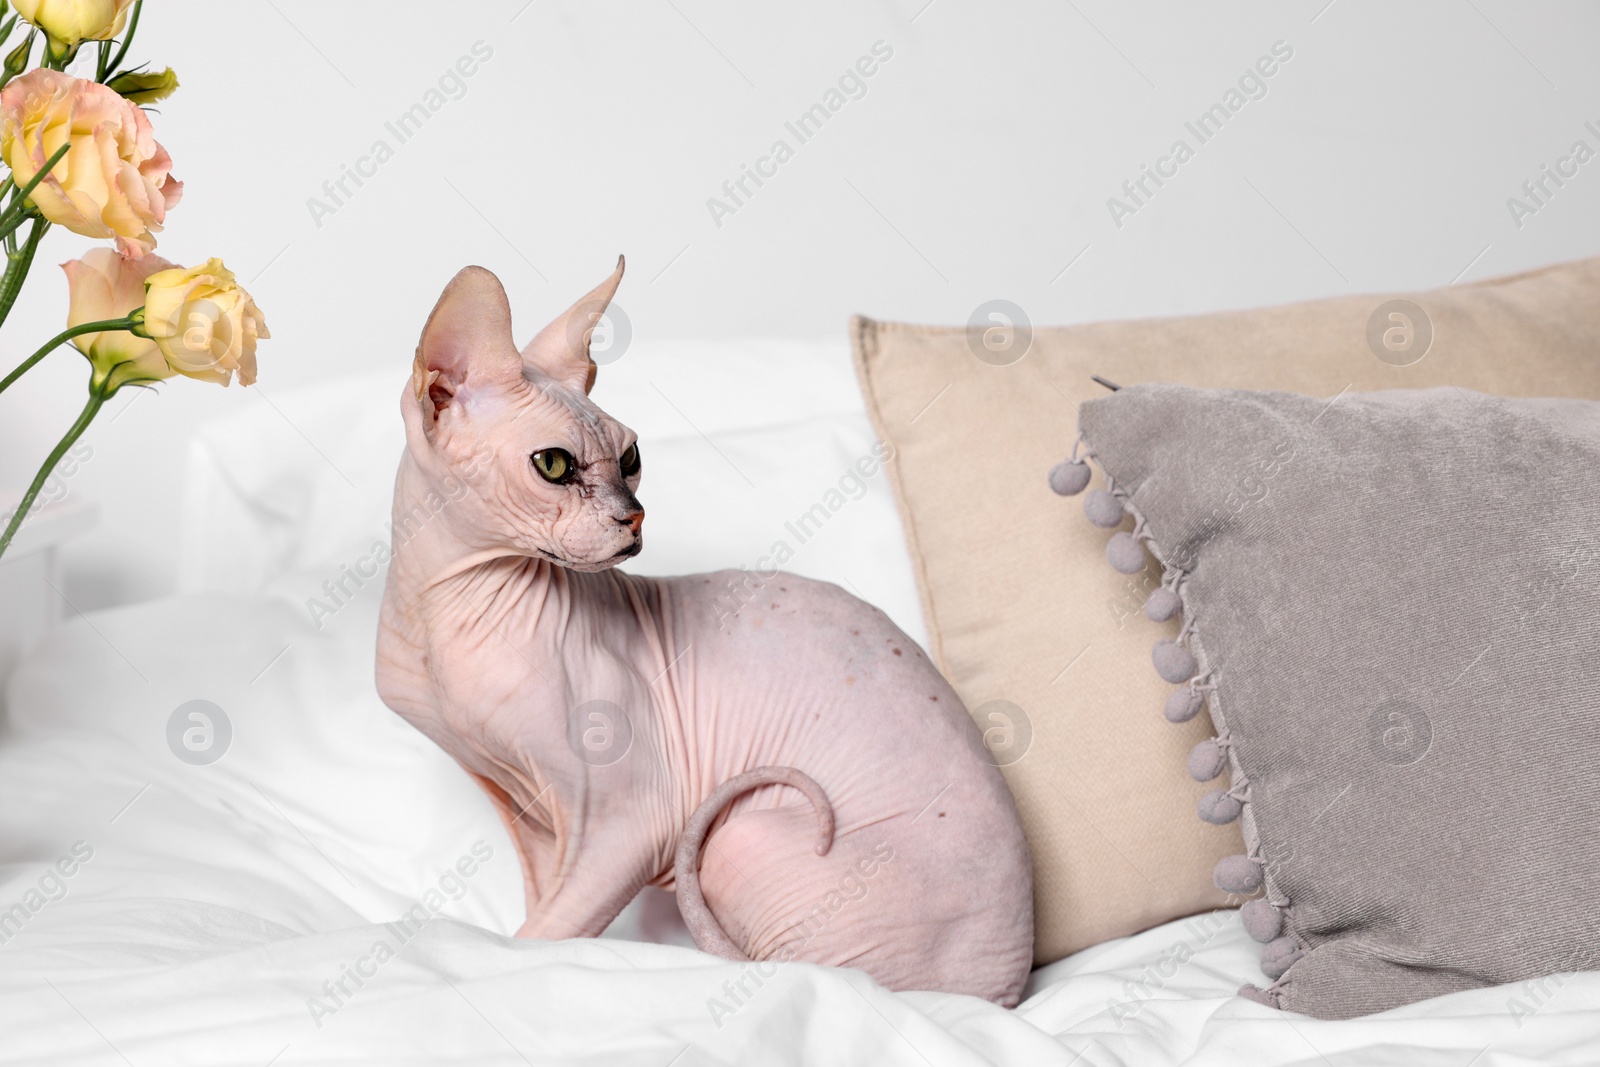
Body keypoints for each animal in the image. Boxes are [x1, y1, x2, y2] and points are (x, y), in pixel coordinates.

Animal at [372, 260, 1030, 1011]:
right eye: (555, 466)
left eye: (630, 456)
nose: (633, 517)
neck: (443, 615)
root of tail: (1000, 994)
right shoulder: (524, 805)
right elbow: (544, 917)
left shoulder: (632, 823)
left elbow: (544, 935)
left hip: (739, 837)